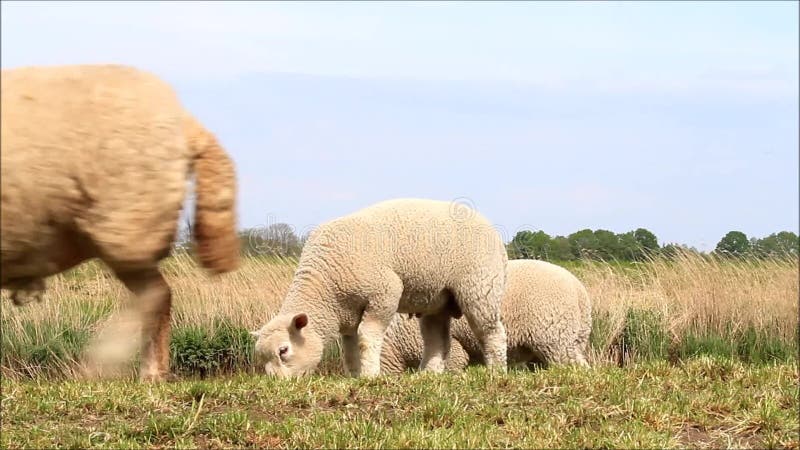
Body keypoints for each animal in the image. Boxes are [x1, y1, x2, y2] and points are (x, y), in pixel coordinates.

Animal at [253, 199, 510, 378]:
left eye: (283, 350)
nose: (278, 384)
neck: (326, 286)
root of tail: (496, 237)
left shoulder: (385, 292)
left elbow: (367, 338)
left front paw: (370, 376)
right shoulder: (348, 314)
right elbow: (349, 347)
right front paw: (355, 376)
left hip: (480, 287)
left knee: (492, 332)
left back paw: (496, 370)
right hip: (436, 298)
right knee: (437, 340)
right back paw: (428, 374)